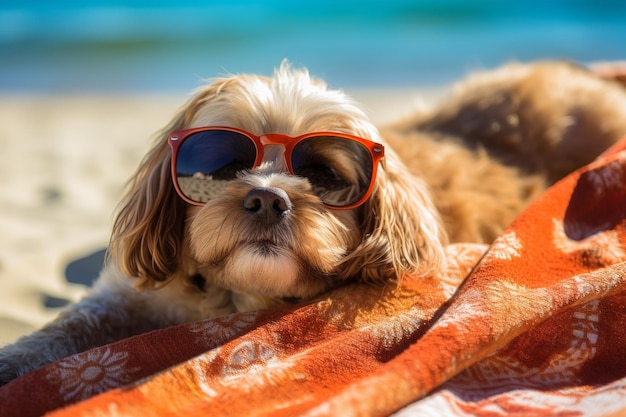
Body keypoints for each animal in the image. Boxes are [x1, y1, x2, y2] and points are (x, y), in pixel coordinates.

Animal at [3, 60, 624, 382]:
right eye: (224, 164)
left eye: (323, 174)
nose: (267, 199)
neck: (234, 297)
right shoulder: (127, 297)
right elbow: (61, 332)